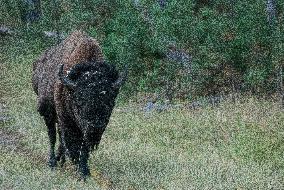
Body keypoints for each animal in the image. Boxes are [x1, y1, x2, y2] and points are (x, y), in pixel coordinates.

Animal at [31, 30, 126, 179]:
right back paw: (53, 162)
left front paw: (84, 171)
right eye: (80, 100)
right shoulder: (68, 122)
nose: (96, 127)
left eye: (110, 101)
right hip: (47, 113)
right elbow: (71, 143)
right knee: (52, 136)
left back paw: (61, 160)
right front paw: (78, 168)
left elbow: (83, 148)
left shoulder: (83, 130)